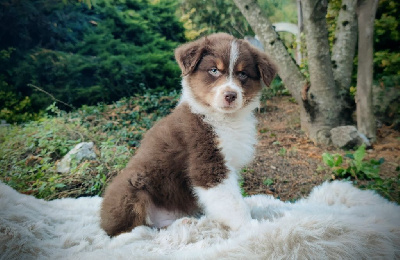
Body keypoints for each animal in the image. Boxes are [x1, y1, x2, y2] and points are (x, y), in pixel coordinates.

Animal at [100, 32, 276, 236]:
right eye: (214, 70)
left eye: (243, 74)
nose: (230, 95)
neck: (222, 119)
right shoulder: (207, 164)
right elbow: (233, 202)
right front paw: (254, 228)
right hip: (133, 186)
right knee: (131, 229)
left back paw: (185, 222)